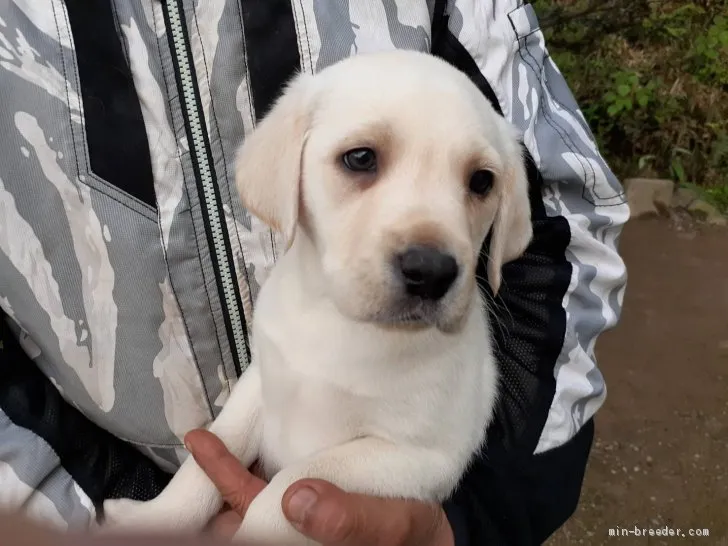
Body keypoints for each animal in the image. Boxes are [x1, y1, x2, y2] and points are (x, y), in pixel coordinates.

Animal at [99, 49, 532, 540]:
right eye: (360, 158)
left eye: (481, 182)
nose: (432, 272)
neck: (338, 321)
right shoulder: (259, 385)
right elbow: (206, 458)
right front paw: (151, 519)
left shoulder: (419, 457)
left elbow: (290, 484)